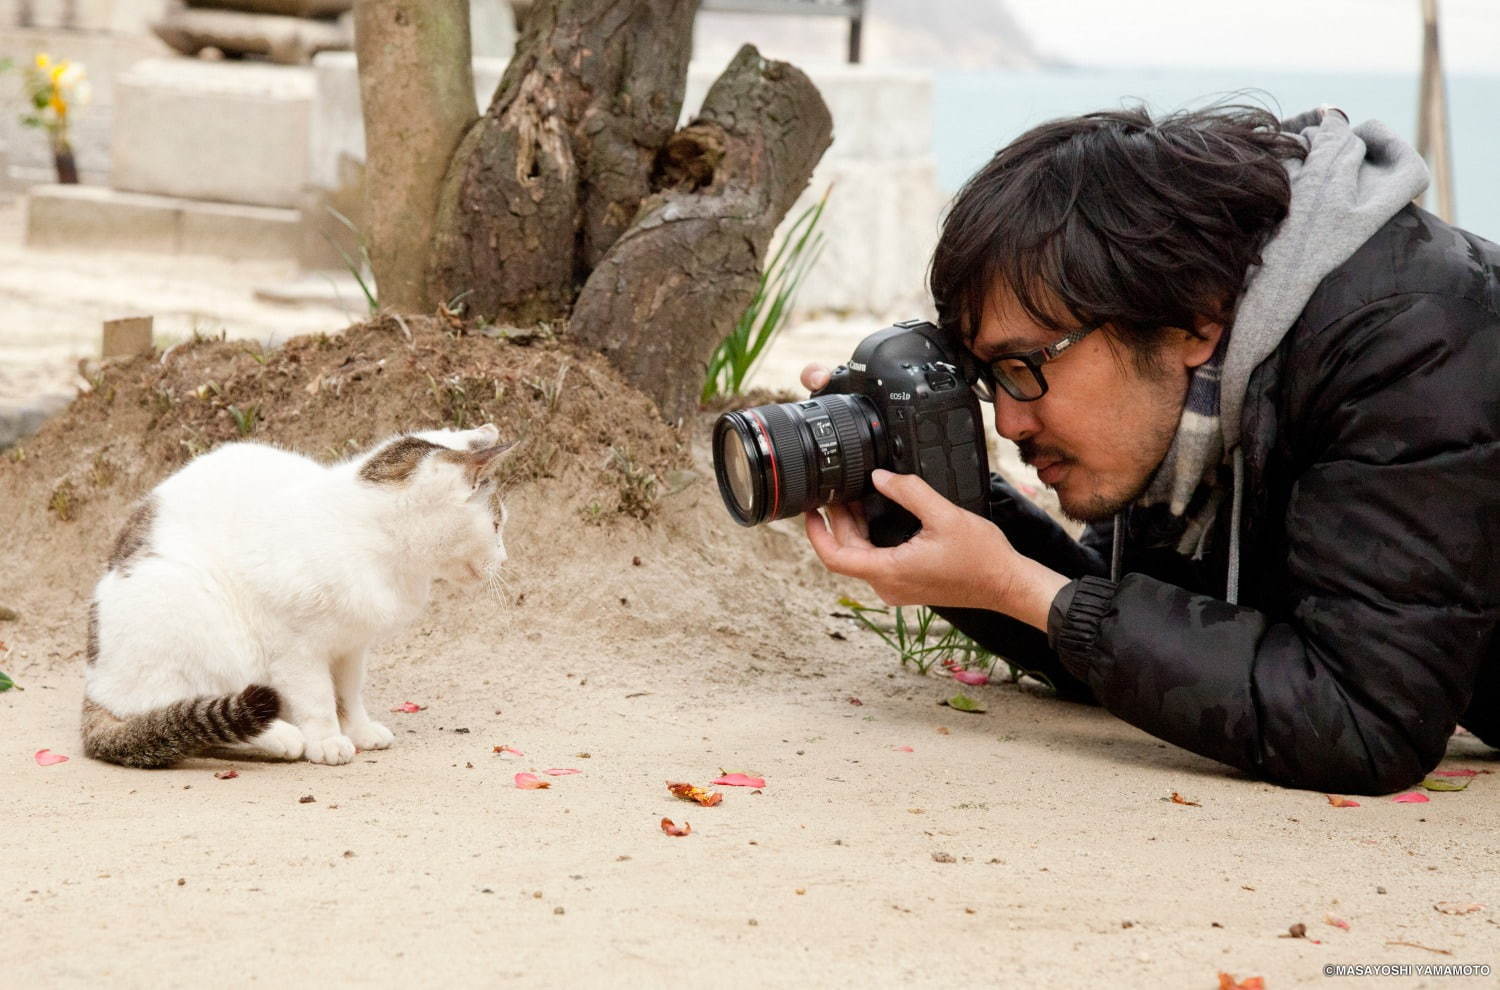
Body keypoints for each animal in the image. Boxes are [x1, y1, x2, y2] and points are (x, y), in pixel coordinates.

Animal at [82, 423, 516, 768]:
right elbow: (319, 699)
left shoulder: (351, 646)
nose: (505, 558)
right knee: (179, 710)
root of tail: (95, 682)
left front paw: (359, 731)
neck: (375, 541)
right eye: (497, 525)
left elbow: (349, 694)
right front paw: (327, 741)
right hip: (190, 610)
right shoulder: (294, 650)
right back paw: (283, 737)